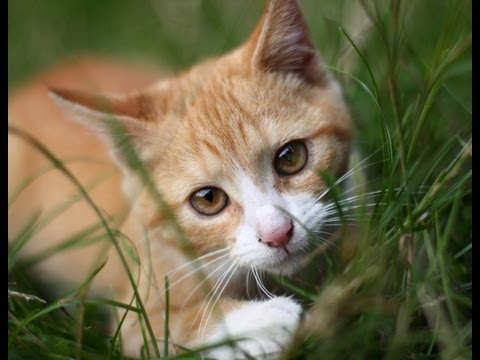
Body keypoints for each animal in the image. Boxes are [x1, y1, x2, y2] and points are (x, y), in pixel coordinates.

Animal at [6, 0, 352, 358]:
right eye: (208, 199)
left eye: (290, 157)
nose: (278, 233)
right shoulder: (137, 308)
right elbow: (164, 327)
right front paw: (264, 319)